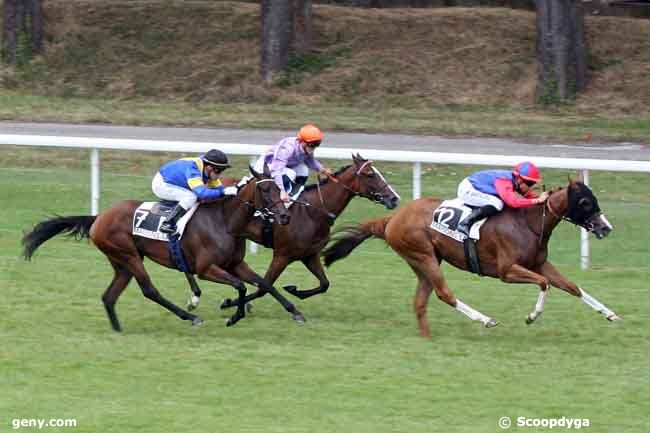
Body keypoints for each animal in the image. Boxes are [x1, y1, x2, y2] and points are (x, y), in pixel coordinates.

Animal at [22, 166, 302, 330]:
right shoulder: (205, 269)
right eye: (265, 189)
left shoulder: (235, 264)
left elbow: (263, 283)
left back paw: (118, 328)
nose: (285, 217)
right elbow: (241, 286)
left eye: (279, 187)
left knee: (109, 296)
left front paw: (295, 312)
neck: (224, 221)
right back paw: (190, 317)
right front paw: (234, 316)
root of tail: (99, 217)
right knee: (149, 290)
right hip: (129, 255)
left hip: (121, 262)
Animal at [192, 155, 398, 310]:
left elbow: (324, 284)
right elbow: (263, 287)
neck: (313, 211)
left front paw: (294, 290)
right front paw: (230, 303)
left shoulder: (309, 255)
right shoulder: (282, 255)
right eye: (370, 174)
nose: (394, 198)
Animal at [322, 179, 616, 338]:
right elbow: (544, 283)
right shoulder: (507, 271)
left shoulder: (539, 263)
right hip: (423, 255)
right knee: (444, 294)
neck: (529, 222)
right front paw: (532, 317)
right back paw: (485, 320)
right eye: (585, 202)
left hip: (424, 261)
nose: (606, 227)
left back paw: (427, 338)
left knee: (421, 301)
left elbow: (572, 287)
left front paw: (610, 314)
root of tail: (391, 218)